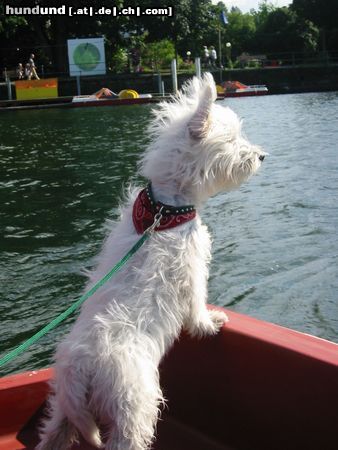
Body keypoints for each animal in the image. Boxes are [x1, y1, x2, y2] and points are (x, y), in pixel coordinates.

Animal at [36, 72, 264, 448]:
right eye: (231, 140)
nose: (262, 156)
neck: (165, 206)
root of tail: (83, 369)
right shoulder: (193, 270)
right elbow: (197, 310)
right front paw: (212, 323)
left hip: (63, 411)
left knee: (55, 433)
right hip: (134, 407)